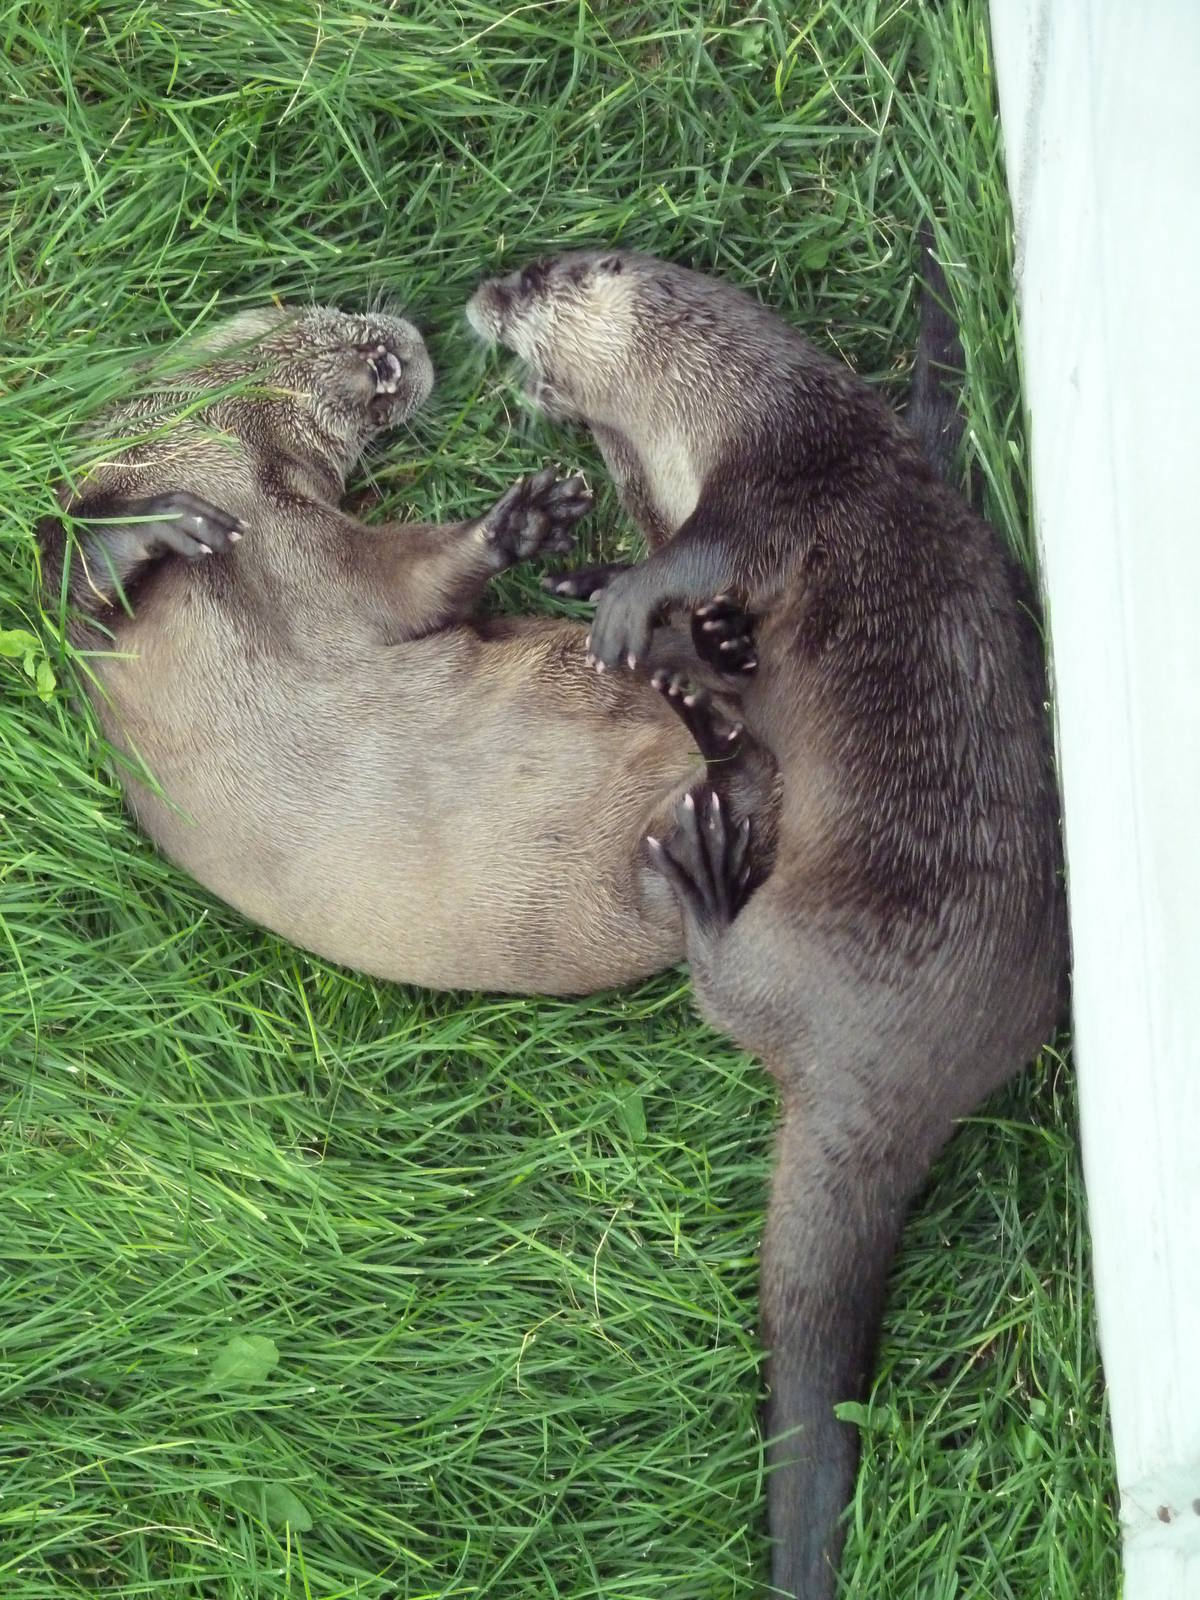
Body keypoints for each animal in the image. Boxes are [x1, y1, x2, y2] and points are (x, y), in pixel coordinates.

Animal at [40, 302, 772, 996]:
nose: (388, 363)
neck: (229, 472)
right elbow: (62, 573)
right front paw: (162, 521)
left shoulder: (313, 551)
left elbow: (401, 581)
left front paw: (524, 521)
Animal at [467, 247, 1067, 1597]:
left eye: (535, 275)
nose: (477, 292)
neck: (706, 410)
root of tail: (892, 1069)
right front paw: (612, 589)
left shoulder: (786, 473)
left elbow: (709, 554)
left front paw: (625, 603)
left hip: (792, 944)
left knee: (720, 983)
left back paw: (702, 862)